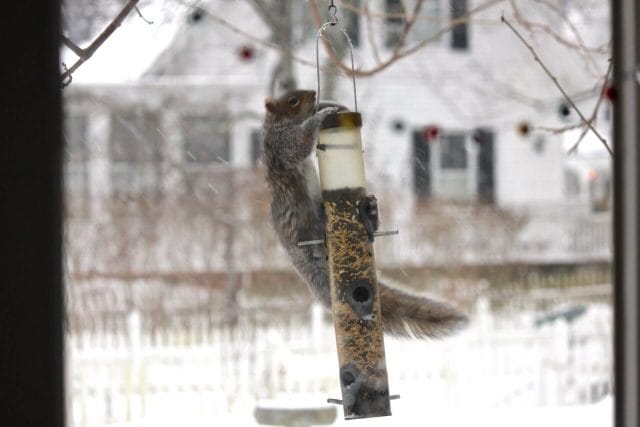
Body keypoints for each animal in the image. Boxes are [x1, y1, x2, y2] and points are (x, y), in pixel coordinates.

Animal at [262, 90, 468, 342]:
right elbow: (299, 144)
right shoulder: (281, 144)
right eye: (292, 101)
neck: (277, 124)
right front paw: (321, 115)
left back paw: (372, 212)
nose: (313, 93)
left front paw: (329, 105)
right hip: (306, 218)